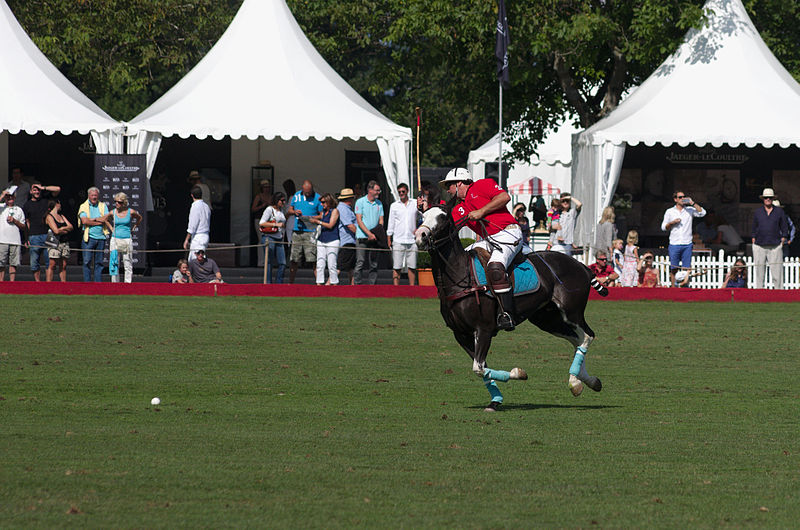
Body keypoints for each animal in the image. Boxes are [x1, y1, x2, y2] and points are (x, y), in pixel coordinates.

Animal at [412, 205, 608, 408]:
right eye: (423, 216)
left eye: (443, 218)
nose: (421, 236)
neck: (460, 277)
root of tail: (582, 266)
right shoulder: (460, 334)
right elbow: (482, 367)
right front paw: (496, 399)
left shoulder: (483, 329)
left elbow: (478, 367)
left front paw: (518, 373)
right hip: (546, 318)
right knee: (577, 339)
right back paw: (585, 381)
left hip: (572, 311)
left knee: (587, 336)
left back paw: (575, 381)